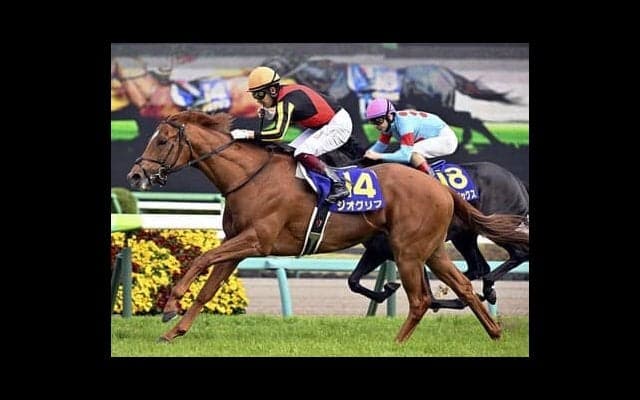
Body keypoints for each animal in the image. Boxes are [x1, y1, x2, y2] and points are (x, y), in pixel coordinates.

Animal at [348, 160, 529, 308]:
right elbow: (353, 281)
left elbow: (428, 296)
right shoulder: (378, 249)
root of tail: (517, 181)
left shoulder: (394, 249)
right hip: (464, 236)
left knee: (519, 253)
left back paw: (487, 288)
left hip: (497, 225)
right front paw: (387, 290)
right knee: (479, 267)